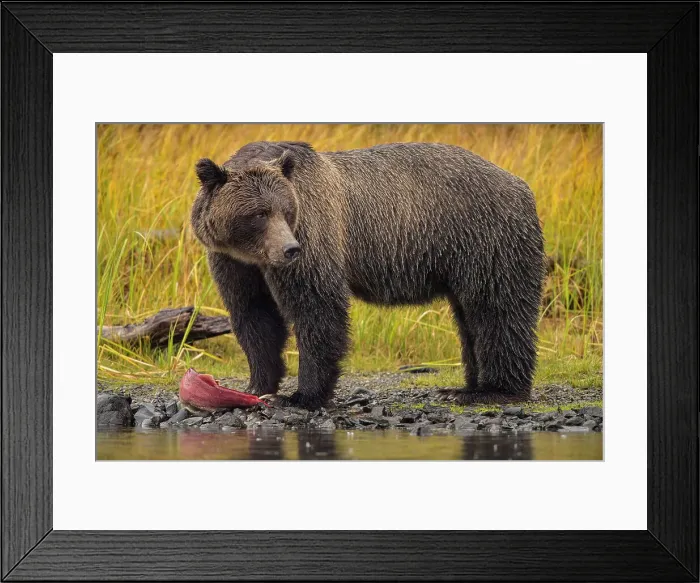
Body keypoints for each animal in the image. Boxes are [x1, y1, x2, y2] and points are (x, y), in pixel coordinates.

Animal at [190, 141, 545, 409]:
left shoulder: (315, 233)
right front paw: (257, 385)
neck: (253, 254)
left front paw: (302, 396)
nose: (290, 250)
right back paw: (466, 387)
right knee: (470, 318)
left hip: (486, 240)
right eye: (259, 214)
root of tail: (519, 183)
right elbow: (254, 316)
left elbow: (316, 308)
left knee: (497, 310)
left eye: (286, 210)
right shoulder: (235, 264)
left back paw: (495, 390)